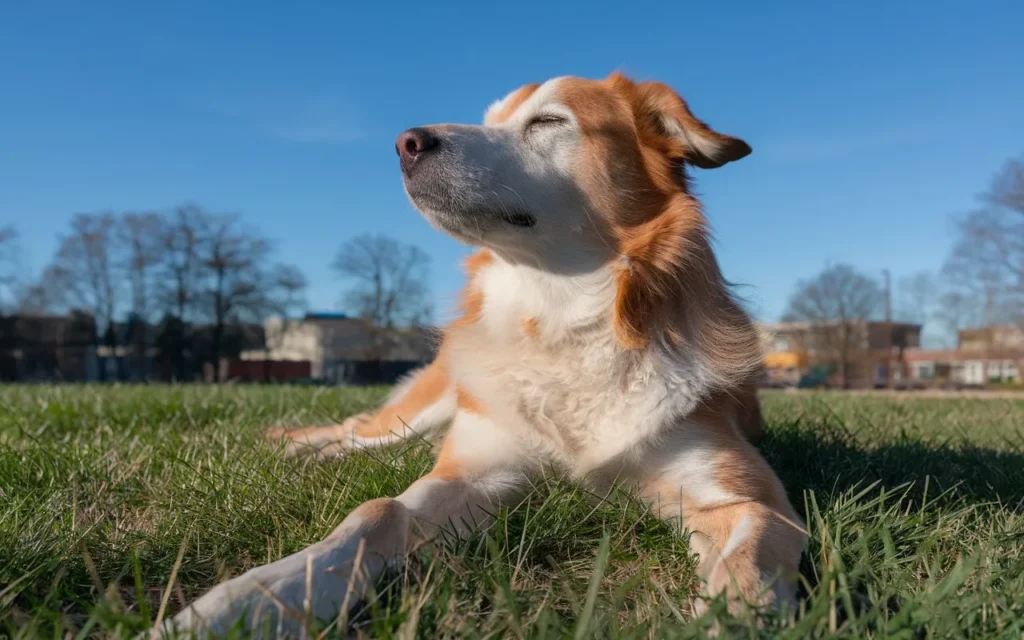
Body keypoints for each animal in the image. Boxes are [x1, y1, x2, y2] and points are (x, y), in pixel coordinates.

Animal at [159, 73, 802, 634]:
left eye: (547, 121)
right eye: (489, 120)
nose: (406, 142)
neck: (560, 321)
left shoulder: (752, 504)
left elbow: (745, 575)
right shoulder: (472, 471)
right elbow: (376, 511)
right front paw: (243, 603)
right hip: (417, 412)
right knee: (351, 433)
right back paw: (302, 454)